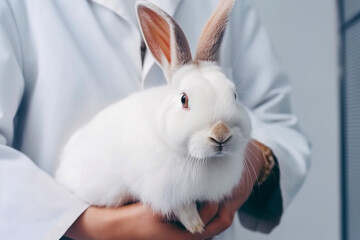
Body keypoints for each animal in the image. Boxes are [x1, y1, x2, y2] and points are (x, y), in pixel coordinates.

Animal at [55, 0, 250, 233]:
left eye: (234, 95)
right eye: (184, 99)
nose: (221, 133)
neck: (199, 159)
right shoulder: (168, 193)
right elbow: (183, 208)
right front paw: (195, 226)